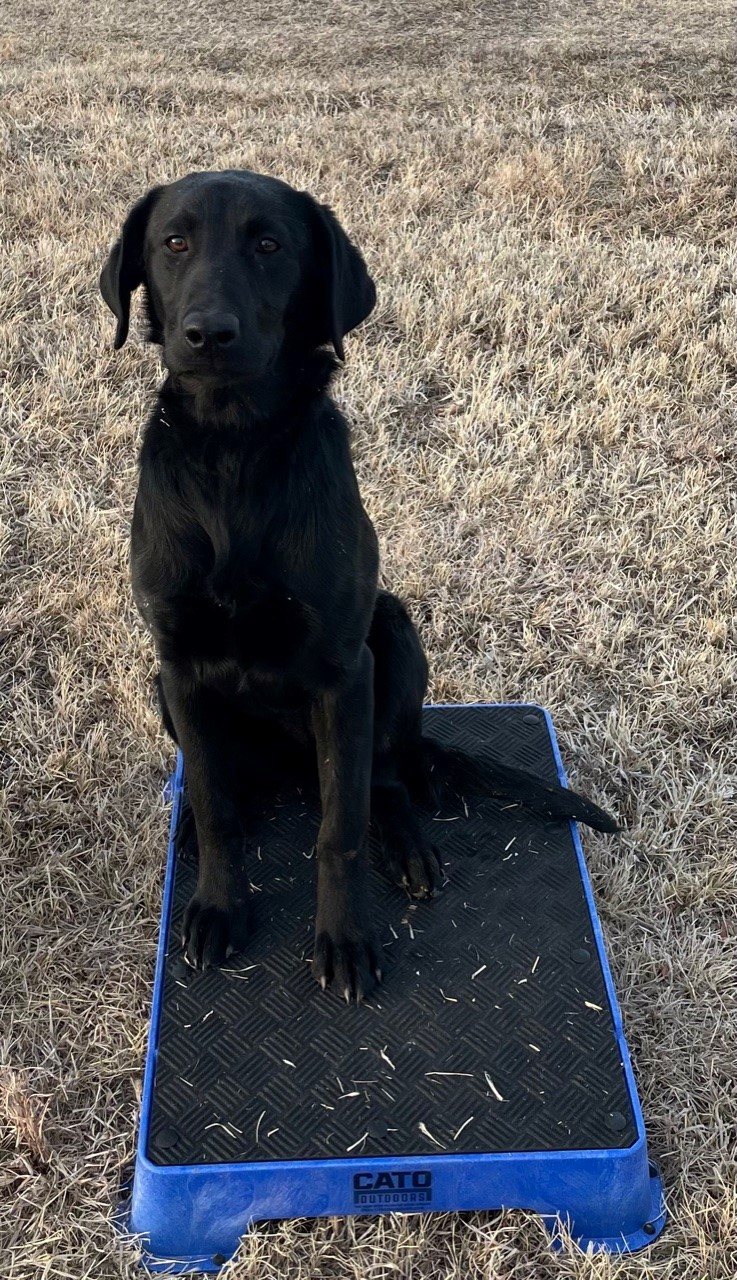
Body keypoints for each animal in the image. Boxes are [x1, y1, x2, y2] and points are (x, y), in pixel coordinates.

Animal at [99, 175, 616, 1003]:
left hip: (393, 639)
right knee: (236, 788)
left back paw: (405, 846)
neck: (236, 453)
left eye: (269, 244)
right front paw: (218, 906)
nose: (209, 335)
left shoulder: (344, 674)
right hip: (172, 693)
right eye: (173, 242)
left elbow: (338, 827)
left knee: (386, 780)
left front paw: (343, 937)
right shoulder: (179, 666)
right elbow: (214, 806)